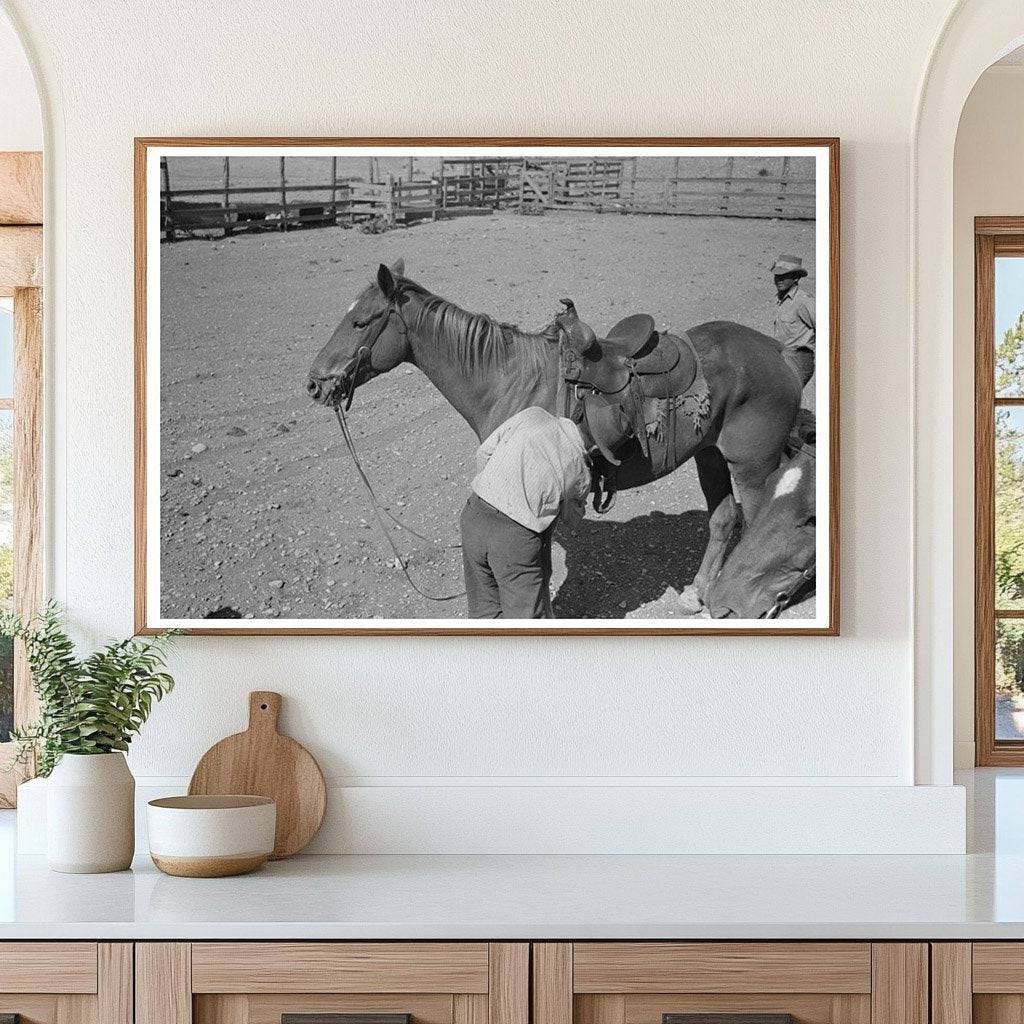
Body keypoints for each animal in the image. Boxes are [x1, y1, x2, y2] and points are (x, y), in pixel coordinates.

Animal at [307, 262, 802, 614]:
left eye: (361, 322)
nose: (314, 383)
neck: (508, 380)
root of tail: (777, 352)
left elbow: (539, 570)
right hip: (711, 456)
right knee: (723, 520)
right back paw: (697, 595)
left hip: (753, 467)